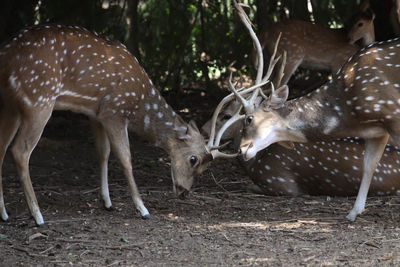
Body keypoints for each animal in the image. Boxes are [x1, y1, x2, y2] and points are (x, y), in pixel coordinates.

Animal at [0, 24, 234, 226]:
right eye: (193, 159)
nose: (184, 192)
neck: (139, 102)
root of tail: (6, 58)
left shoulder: (96, 113)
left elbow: (103, 152)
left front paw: (108, 202)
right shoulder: (115, 111)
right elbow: (125, 158)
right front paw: (143, 209)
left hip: (12, 108)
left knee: (2, 148)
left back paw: (5, 214)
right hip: (39, 99)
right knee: (19, 150)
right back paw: (38, 216)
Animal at [227, 0, 400, 222]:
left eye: (248, 119)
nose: (241, 150)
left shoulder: (391, 113)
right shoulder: (378, 130)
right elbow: (369, 165)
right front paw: (353, 213)